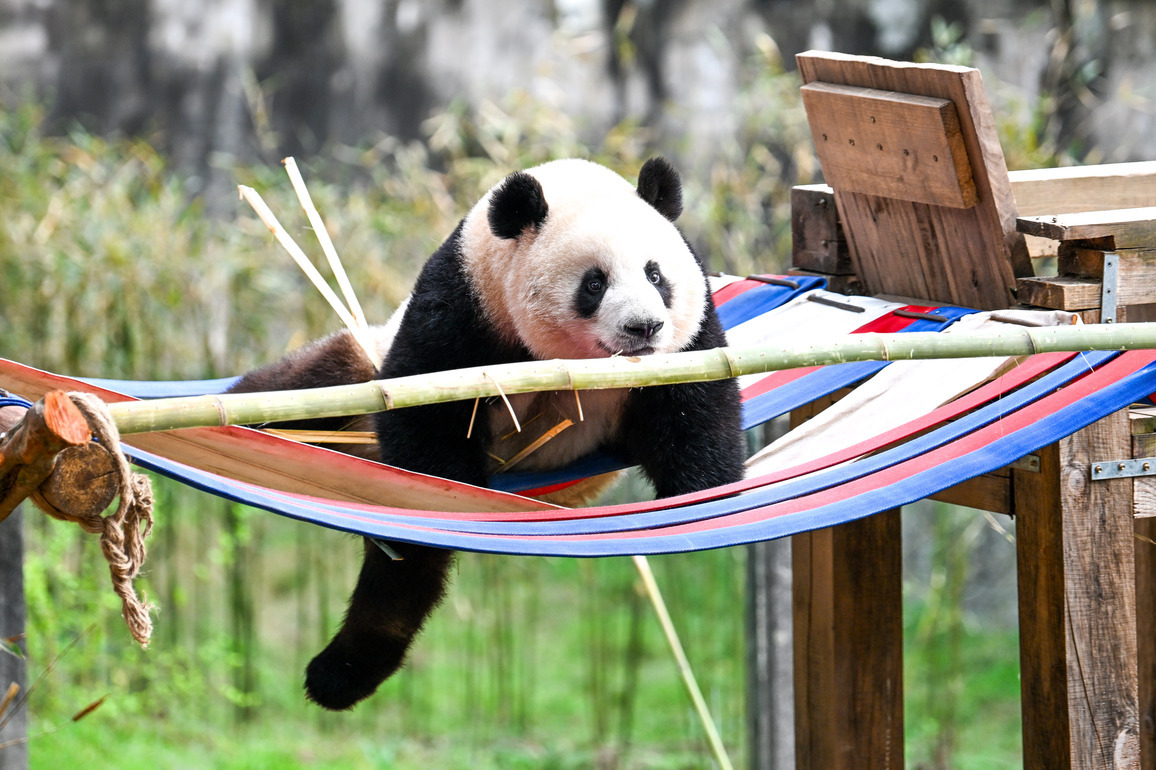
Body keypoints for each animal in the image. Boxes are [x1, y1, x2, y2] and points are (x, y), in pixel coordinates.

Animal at [229, 157, 746, 710]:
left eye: (655, 274)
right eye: (594, 284)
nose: (644, 328)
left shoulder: (691, 342)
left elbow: (695, 416)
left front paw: (701, 503)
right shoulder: (464, 307)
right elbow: (425, 419)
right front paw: (453, 496)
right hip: (353, 372)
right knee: (305, 392)